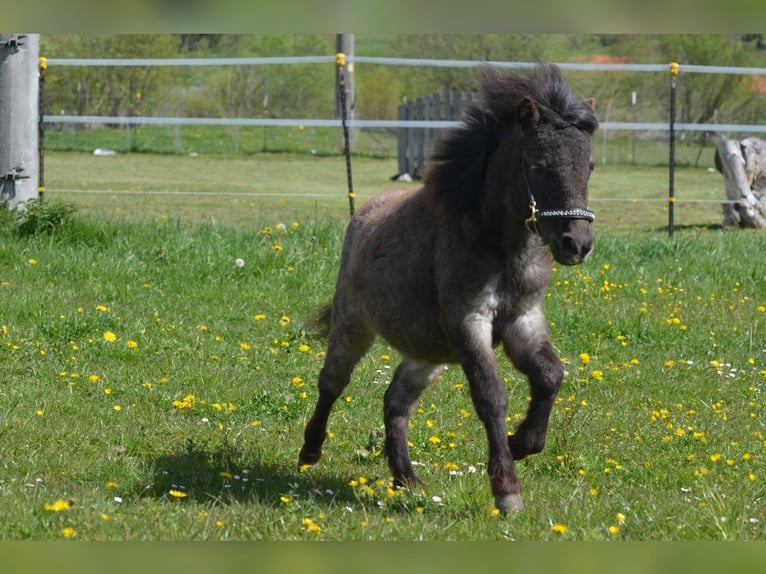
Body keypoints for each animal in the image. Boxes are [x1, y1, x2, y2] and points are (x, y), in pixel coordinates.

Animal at [300, 63, 600, 512]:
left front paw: (520, 443)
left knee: (396, 402)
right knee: (332, 382)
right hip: (352, 325)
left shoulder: (523, 319)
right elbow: (491, 396)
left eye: (590, 166)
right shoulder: (468, 321)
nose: (576, 244)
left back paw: (406, 478)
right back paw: (310, 450)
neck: (499, 246)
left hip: (428, 354)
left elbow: (550, 376)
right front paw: (506, 488)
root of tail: (364, 213)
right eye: (539, 165)